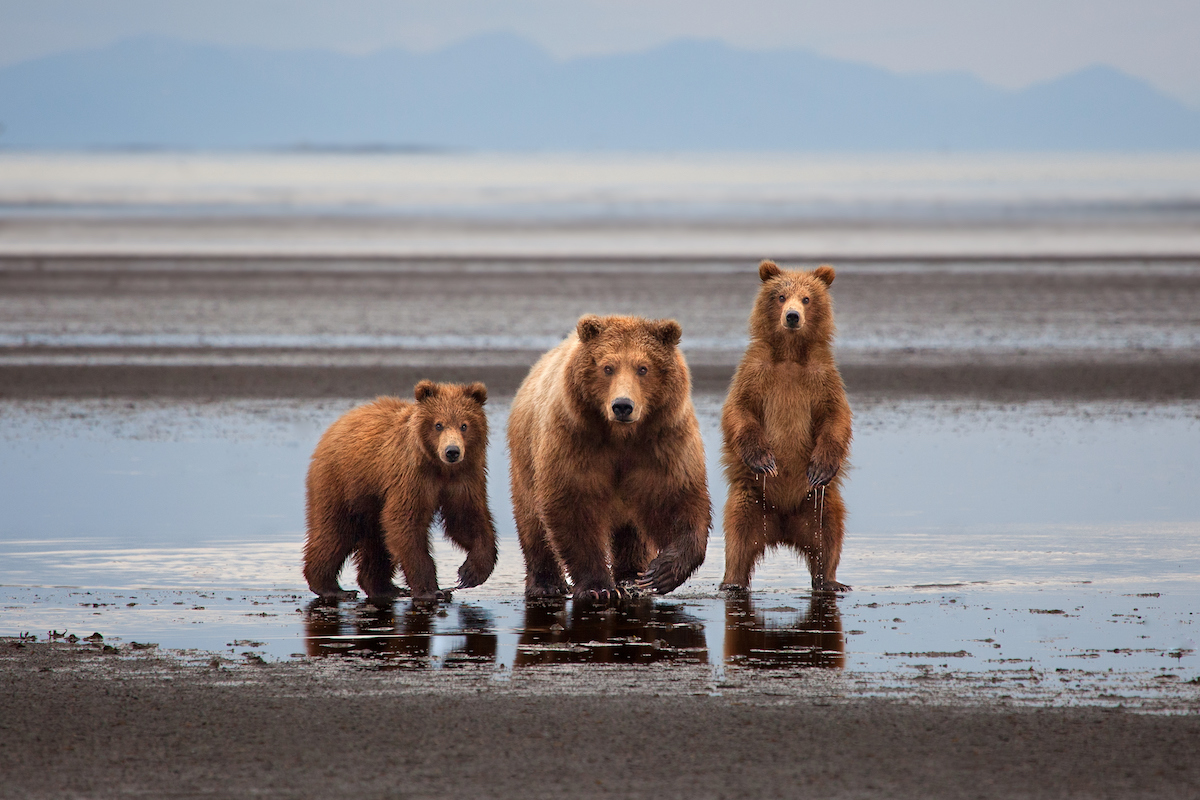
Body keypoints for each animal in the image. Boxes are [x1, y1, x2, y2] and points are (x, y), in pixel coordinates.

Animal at [309, 381, 501, 599]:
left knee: (376, 542)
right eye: (438, 424)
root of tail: (338, 423)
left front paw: (471, 572)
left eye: (464, 425)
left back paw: (385, 588)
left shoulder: (464, 478)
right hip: (342, 483)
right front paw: (431, 589)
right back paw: (331, 587)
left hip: (371, 500)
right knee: (335, 532)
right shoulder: (411, 477)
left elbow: (466, 519)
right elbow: (405, 522)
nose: (452, 451)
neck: (439, 468)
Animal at [508, 311, 710, 599]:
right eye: (607, 367)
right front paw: (598, 587)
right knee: (532, 522)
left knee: (632, 531)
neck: (621, 437)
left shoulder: (663, 443)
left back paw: (631, 576)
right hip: (526, 458)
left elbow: (678, 499)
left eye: (643, 368)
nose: (623, 405)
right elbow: (574, 505)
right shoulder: (575, 440)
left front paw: (661, 572)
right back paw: (546, 584)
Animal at [720, 260, 854, 592]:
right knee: (737, 537)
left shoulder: (822, 378)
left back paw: (830, 581)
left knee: (829, 535)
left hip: (817, 504)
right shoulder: (755, 373)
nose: (792, 316)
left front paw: (820, 467)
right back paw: (732, 582)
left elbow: (836, 417)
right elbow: (739, 410)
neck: (790, 354)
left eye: (806, 298)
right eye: (781, 296)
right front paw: (765, 460)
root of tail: (781, 527)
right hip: (751, 499)